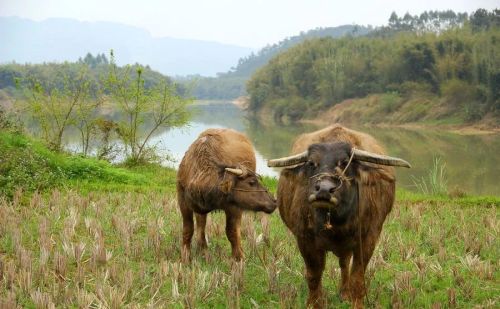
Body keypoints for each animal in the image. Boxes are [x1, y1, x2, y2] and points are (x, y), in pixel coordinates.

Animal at [177, 127, 278, 260]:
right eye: (251, 182)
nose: (274, 201)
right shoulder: (182, 200)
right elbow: (187, 229)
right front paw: (185, 257)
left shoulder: (233, 207)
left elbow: (232, 232)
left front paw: (239, 259)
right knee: (201, 224)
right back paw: (203, 249)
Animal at [270, 124, 410, 306]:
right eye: (311, 163)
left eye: (344, 163)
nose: (323, 190)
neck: (337, 221)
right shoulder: (304, 240)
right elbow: (313, 276)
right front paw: (314, 303)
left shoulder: (368, 239)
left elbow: (358, 278)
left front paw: (356, 303)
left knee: (344, 264)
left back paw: (345, 293)